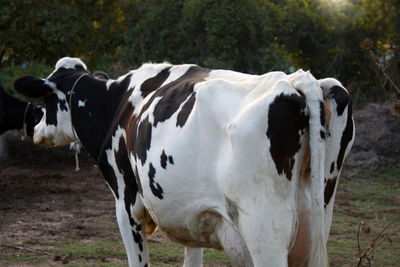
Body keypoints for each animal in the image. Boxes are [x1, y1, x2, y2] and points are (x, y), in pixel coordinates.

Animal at [14, 58, 354, 267]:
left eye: (46, 99)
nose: (35, 129)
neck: (119, 104)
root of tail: (299, 81)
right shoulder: (197, 211)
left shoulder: (126, 203)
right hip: (320, 213)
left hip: (265, 230)